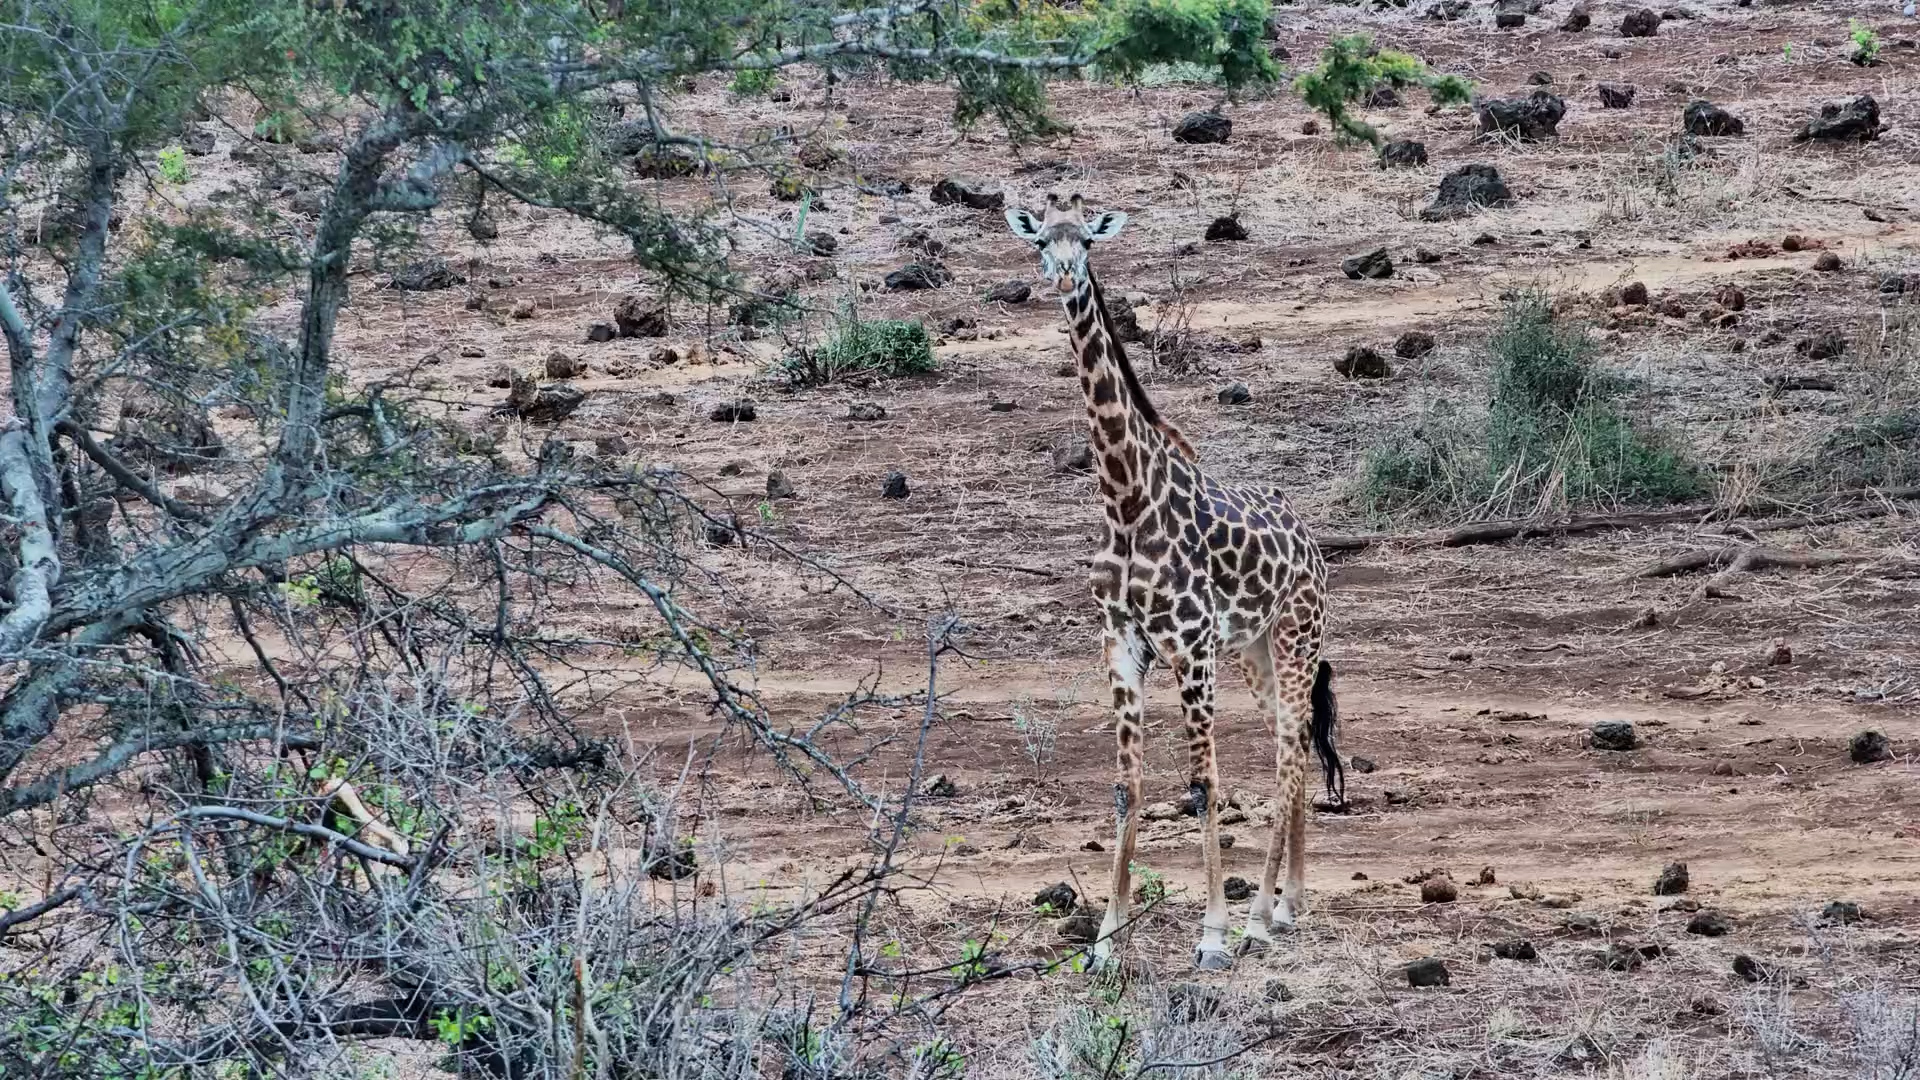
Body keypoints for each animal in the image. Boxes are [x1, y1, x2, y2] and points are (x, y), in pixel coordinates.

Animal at [1005, 194, 1342, 971]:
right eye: (1039, 241)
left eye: (1085, 243)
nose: (1062, 278)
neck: (1126, 500)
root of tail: (1313, 546)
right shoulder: (1123, 644)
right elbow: (1127, 786)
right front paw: (1106, 939)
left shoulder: (1189, 647)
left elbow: (1204, 782)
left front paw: (1212, 935)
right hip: (1253, 652)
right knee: (1292, 747)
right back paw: (1288, 904)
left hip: (1295, 637)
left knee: (1288, 754)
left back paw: (1256, 920)